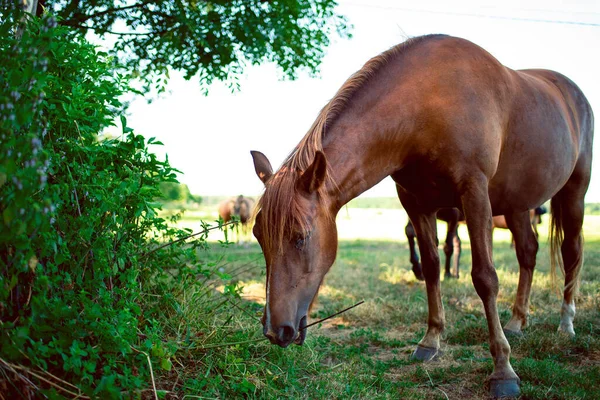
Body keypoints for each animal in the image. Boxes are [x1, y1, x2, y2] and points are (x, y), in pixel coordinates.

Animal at [408, 205, 548, 280]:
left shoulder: (453, 216)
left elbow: (448, 246)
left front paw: (447, 273)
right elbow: (410, 231)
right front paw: (417, 268)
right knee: (458, 243)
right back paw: (455, 273)